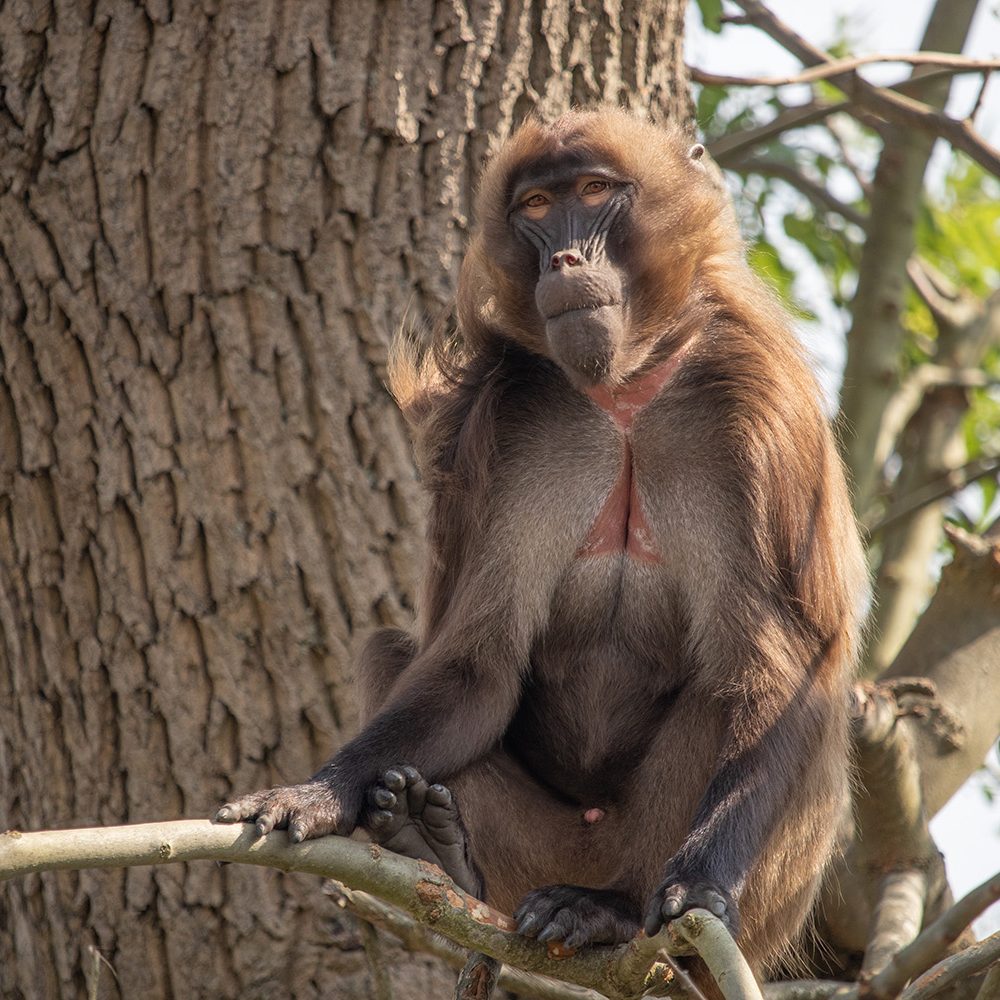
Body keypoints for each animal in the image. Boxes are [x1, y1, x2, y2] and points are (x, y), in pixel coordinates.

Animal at [219, 109, 868, 984]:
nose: (564, 258)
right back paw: (440, 852)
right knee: (392, 653)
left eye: (593, 192)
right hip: (541, 851)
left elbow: (774, 671)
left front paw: (698, 889)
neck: (622, 390)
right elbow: (477, 664)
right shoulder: (524, 424)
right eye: (535, 206)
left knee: (743, 693)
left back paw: (611, 910)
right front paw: (321, 794)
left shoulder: (750, 405)